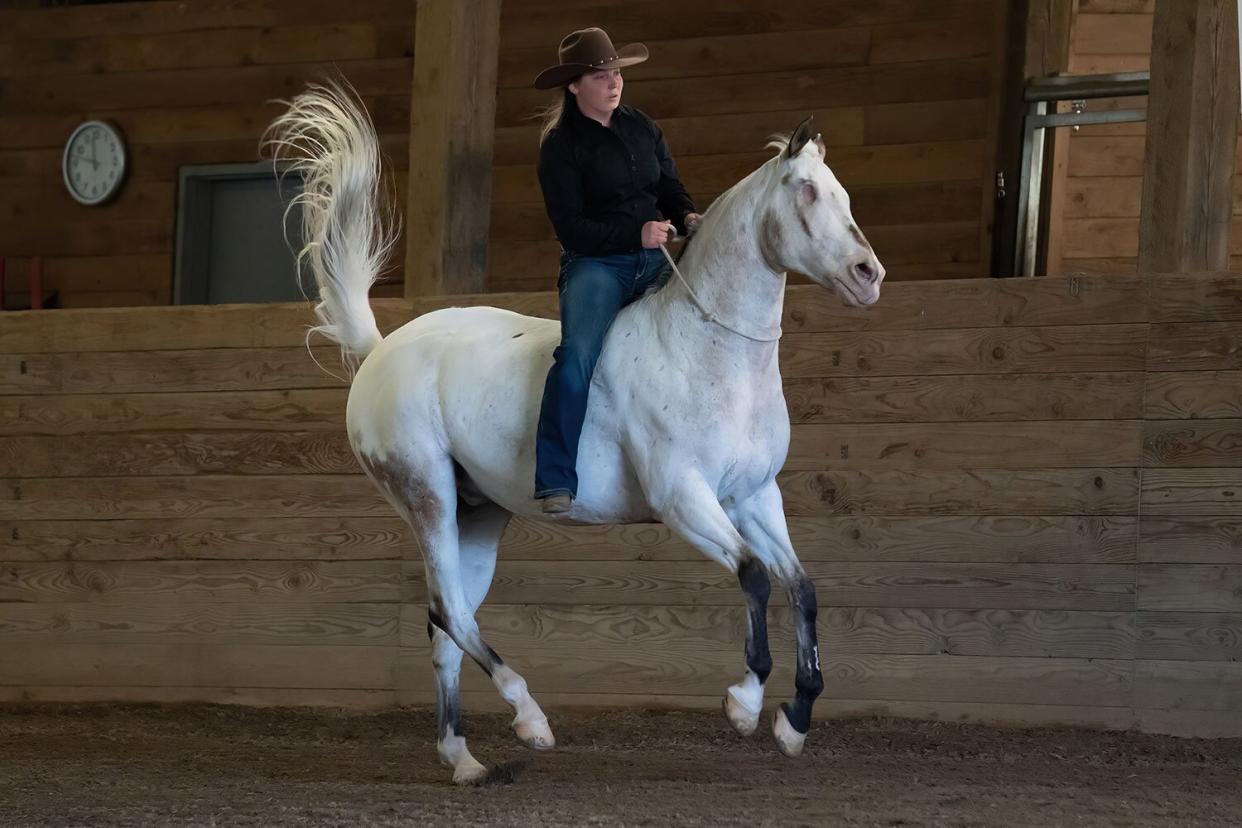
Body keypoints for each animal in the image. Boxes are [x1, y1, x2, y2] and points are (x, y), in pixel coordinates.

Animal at [263, 82, 884, 784]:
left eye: (842, 193)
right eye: (806, 191)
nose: (868, 275)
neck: (705, 348)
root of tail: (380, 351)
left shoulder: (753, 495)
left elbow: (802, 587)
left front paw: (794, 722)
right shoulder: (684, 497)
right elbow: (753, 575)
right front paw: (746, 704)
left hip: (478, 514)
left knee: (448, 624)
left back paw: (465, 760)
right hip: (426, 495)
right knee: (449, 612)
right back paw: (530, 720)